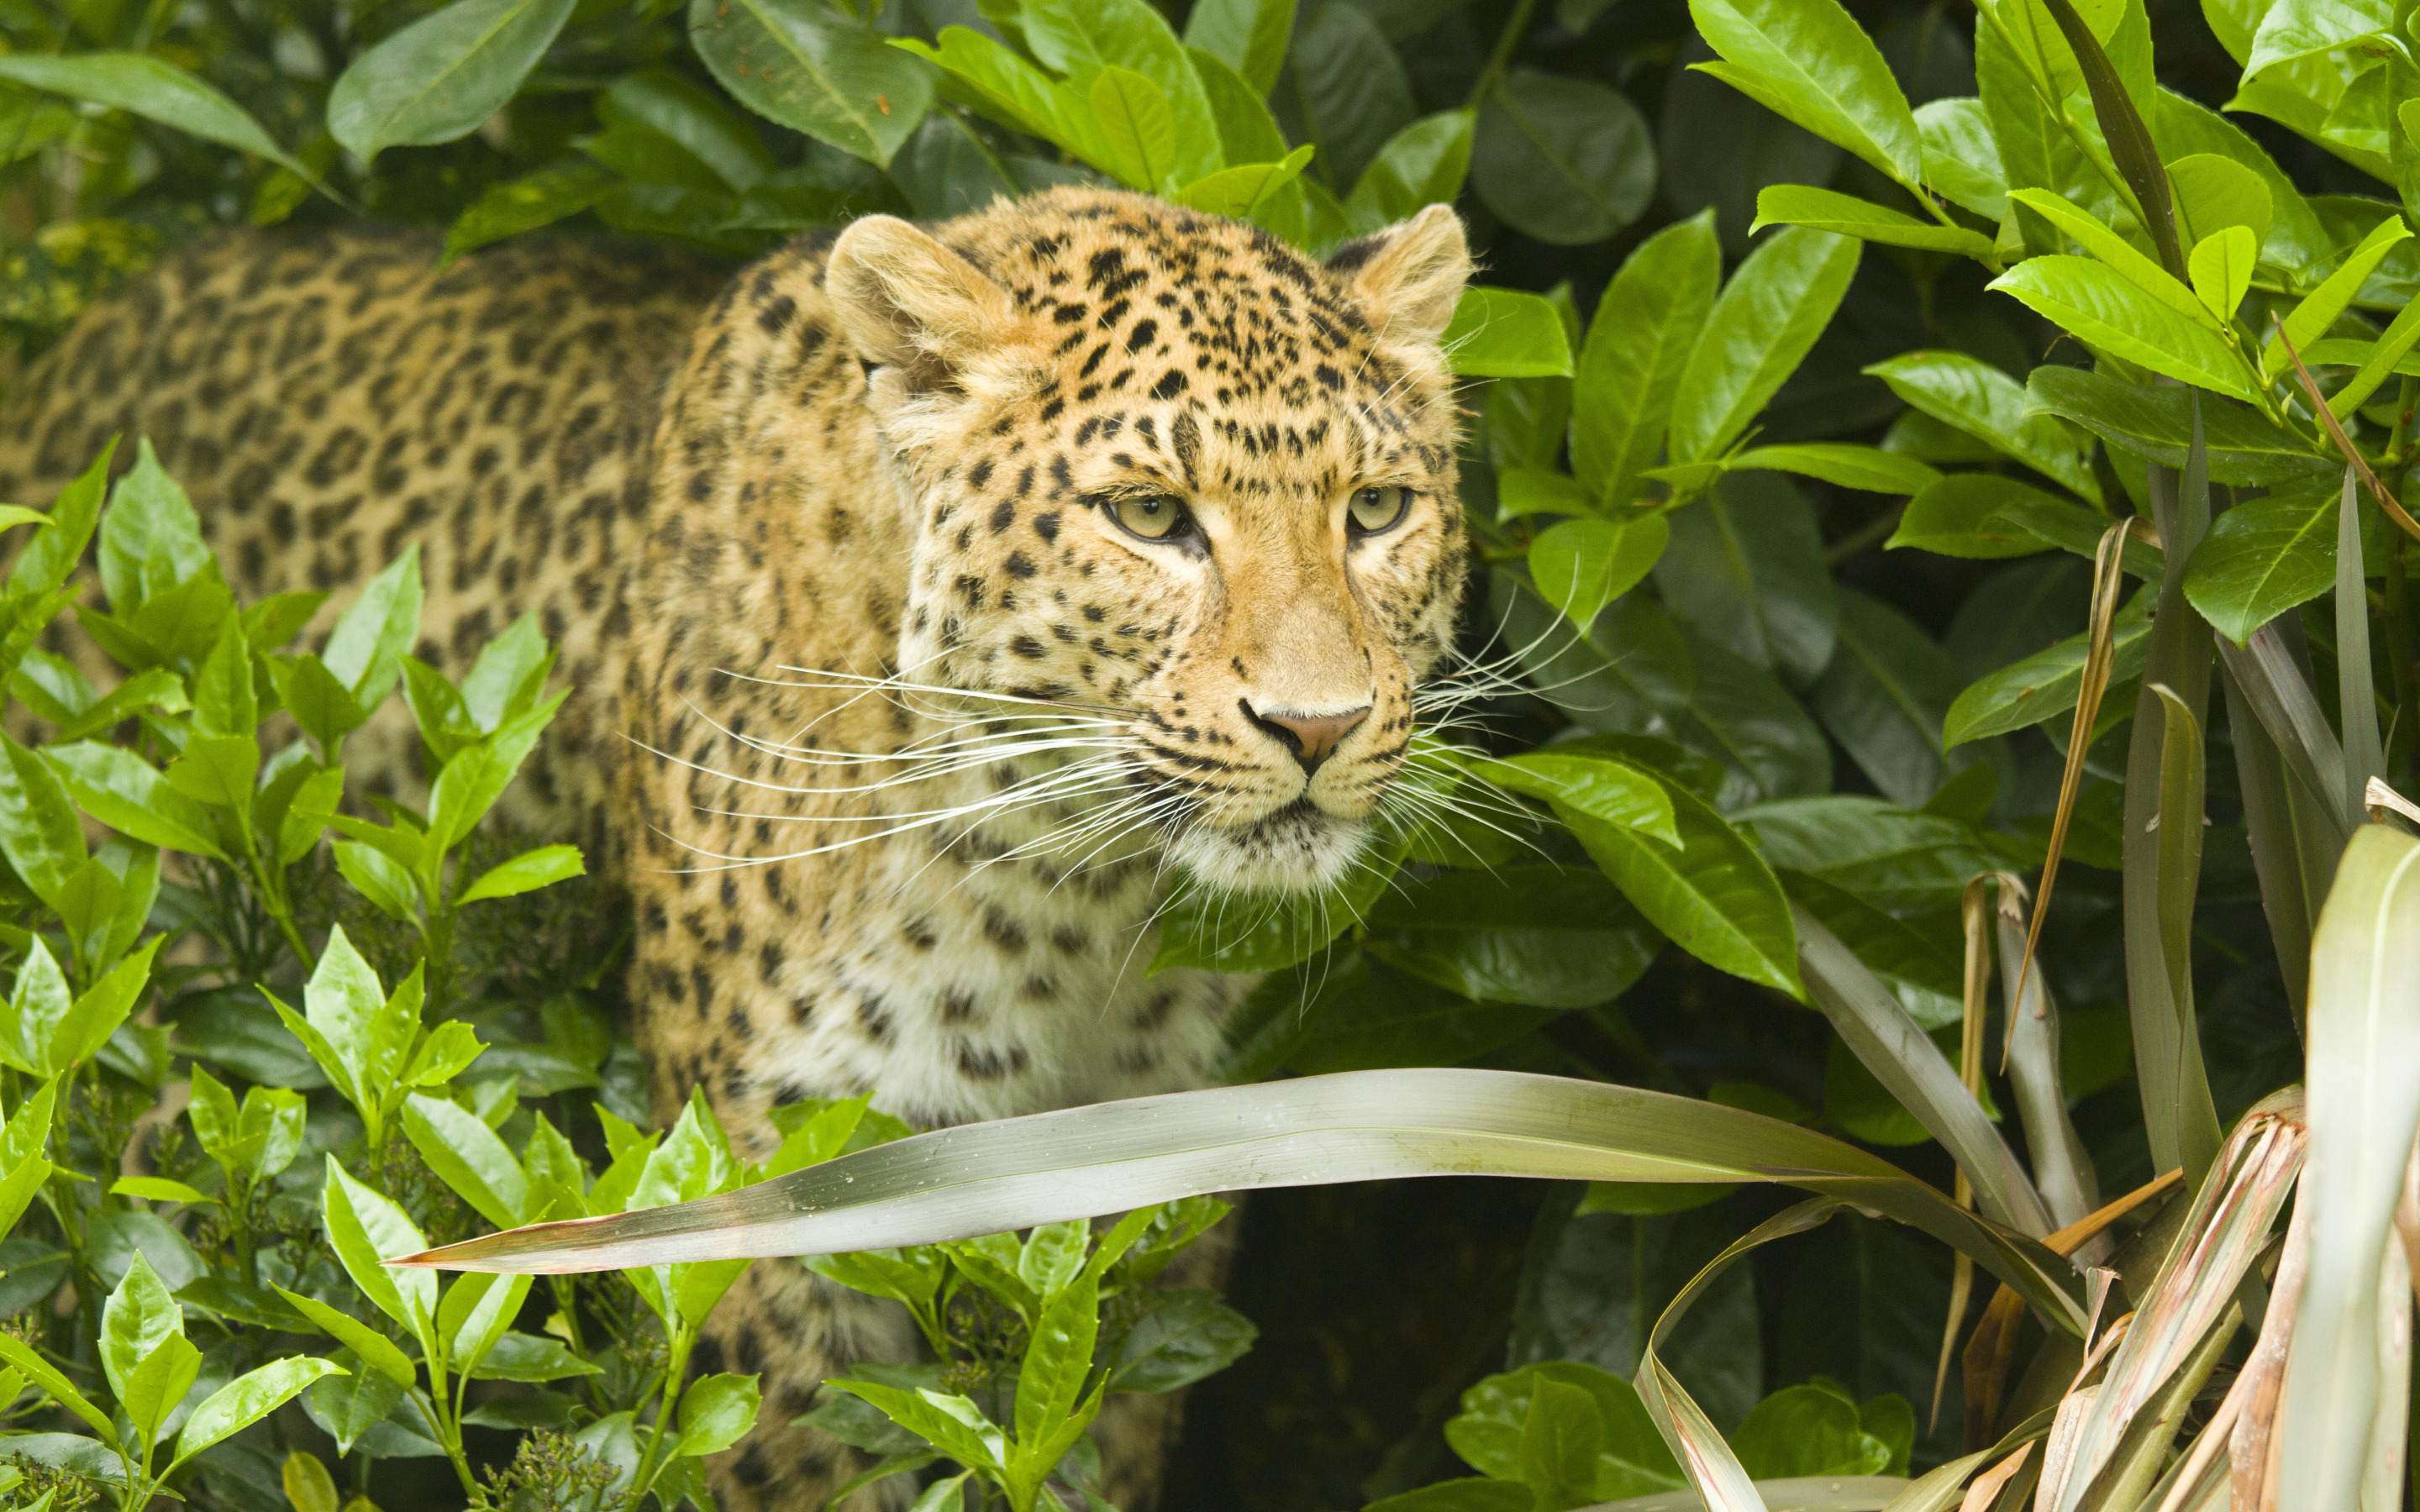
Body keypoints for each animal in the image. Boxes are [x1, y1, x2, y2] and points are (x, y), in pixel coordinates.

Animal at [0, 182, 1471, 1499]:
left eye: (1377, 511)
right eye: (1152, 516)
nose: (1320, 726)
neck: (1079, 901)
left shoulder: (1155, 1197)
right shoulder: (788, 1205)